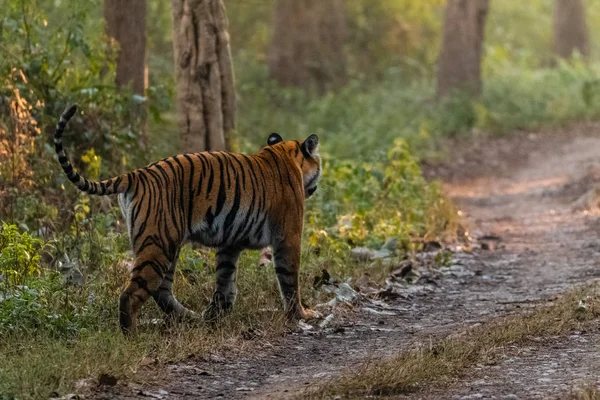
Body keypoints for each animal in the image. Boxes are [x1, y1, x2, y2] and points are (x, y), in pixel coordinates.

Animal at [54, 104, 322, 334]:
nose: (316, 185)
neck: (285, 154)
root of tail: (137, 173)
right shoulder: (288, 236)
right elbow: (289, 278)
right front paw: (301, 314)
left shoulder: (230, 243)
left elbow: (225, 279)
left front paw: (217, 314)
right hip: (158, 244)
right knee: (132, 294)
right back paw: (132, 336)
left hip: (165, 245)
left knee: (161, 291)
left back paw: (190, 317)